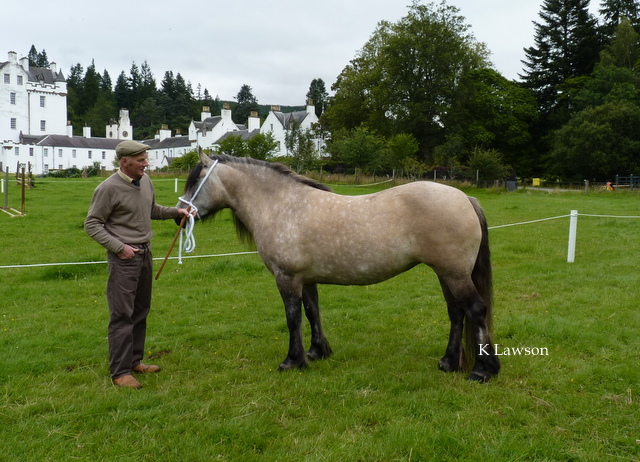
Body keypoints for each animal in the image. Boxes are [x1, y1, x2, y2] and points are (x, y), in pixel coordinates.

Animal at [178, 151, 500, 382]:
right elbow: (312, 312)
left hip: (455, 274)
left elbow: (293, 318)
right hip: (446, 274)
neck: (283, 206)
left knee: (475, 310)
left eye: (195, 181)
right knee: (456, 313)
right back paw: (448, 362)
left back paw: (482, 371)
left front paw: (292, 361)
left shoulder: (287, 278)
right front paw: (317, 352)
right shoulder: (306, 279)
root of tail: (465, 197)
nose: (179, 214)